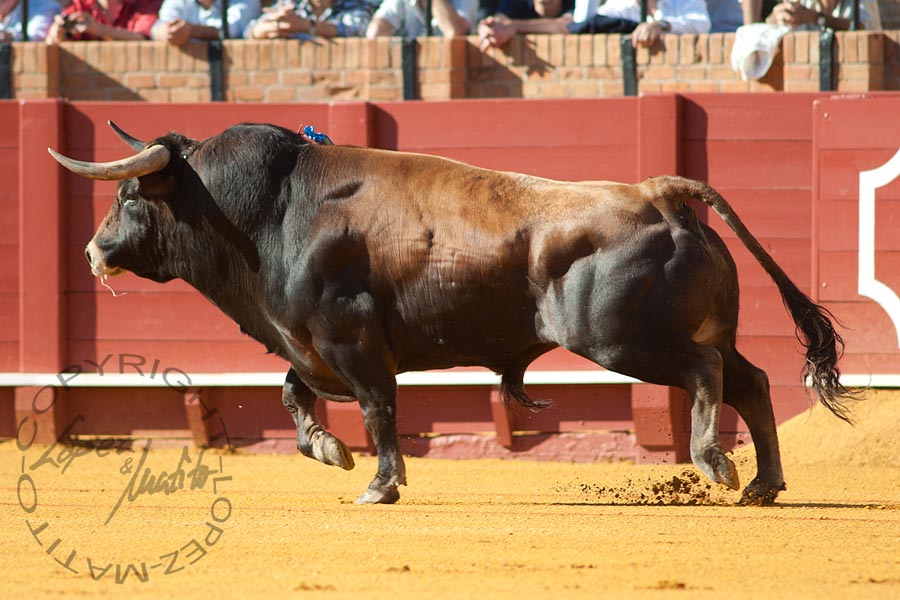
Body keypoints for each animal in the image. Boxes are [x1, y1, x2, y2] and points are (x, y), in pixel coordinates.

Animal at [49, 122, 852, 506]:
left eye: (128, 196)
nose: (91, 251)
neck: (272, 210)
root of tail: (658, 191)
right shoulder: (310, 345)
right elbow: (292, 393)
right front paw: (328, 450)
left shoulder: (351, 338)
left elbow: (378, 409)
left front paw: (379, 482)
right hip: (688, 332)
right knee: (750, 381)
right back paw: (764, 485)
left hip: (625, 341)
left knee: (707, 372)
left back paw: (715, 461)